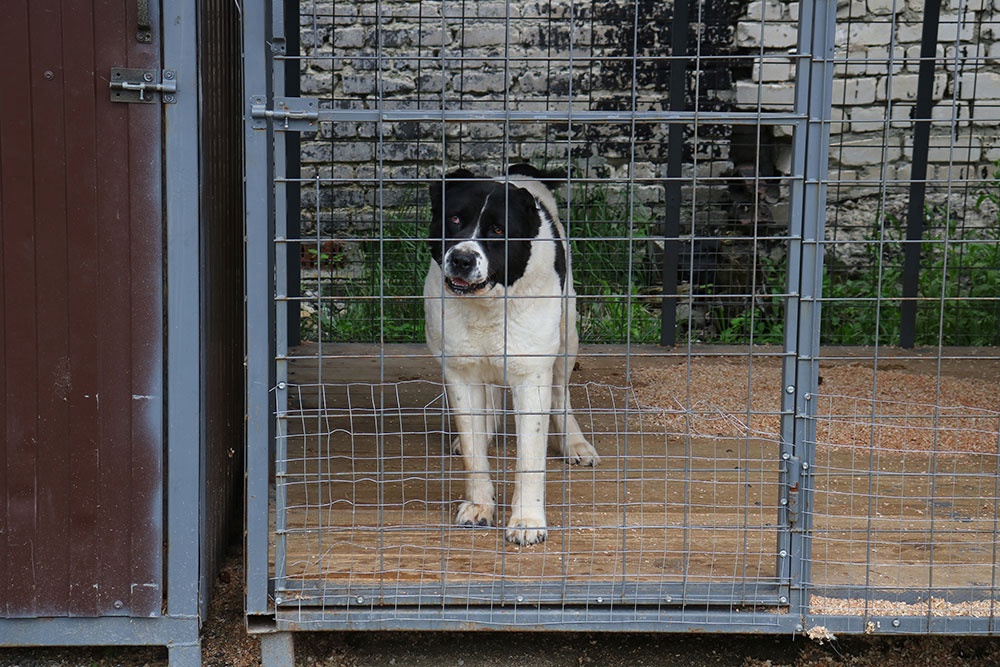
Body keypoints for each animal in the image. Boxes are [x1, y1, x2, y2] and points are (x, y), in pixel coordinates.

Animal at [424, 164, 596, 544]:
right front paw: (479, 505)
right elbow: (474, 452)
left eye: (499, 230)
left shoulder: (532, 375)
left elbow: (530, 458)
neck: (489, 305)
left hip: (567, 334)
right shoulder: (460, 371)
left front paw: (528, 521)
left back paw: (575, 444)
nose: (461, 258)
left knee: (561, 395)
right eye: (454, 219)